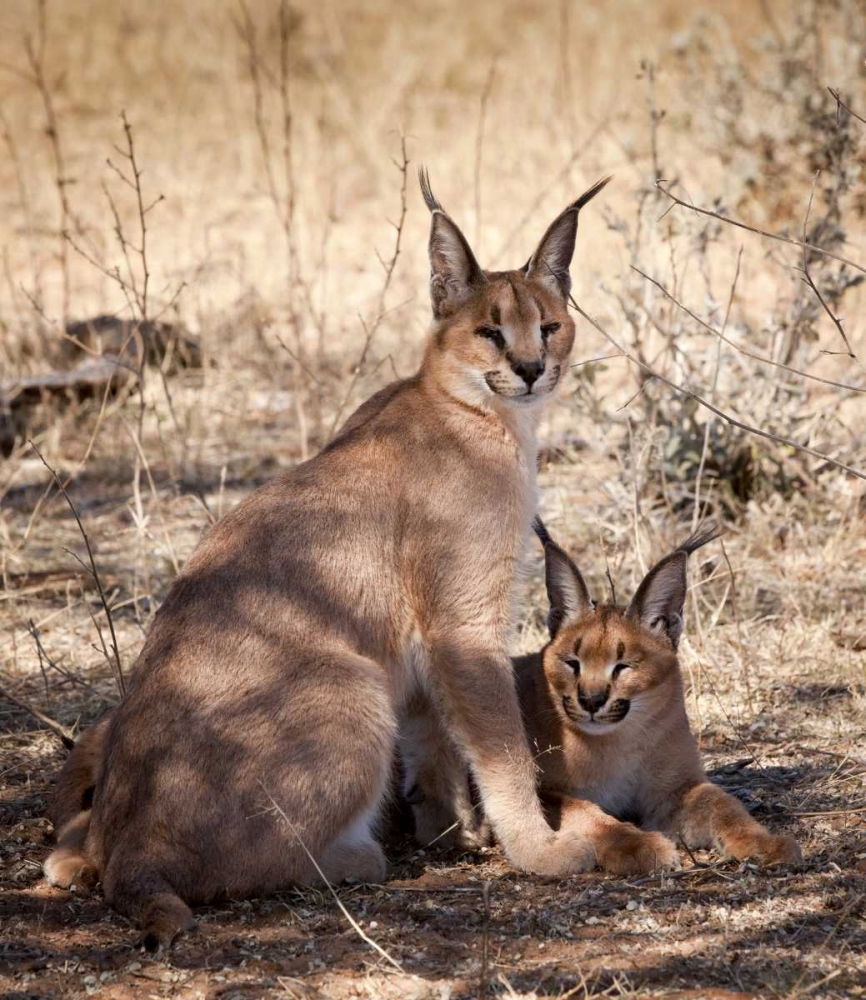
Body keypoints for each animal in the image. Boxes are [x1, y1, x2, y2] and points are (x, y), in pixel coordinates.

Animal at [45, 172, 608, 944]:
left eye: (548, 326)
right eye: (490, 332)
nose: (530, 368)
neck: (477, 413)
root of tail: (126, 852)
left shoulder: (428, 638)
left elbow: (435, 735)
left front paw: (451, 832)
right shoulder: (465, 623)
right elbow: (502, 746)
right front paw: (540, 850)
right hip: (353, 684)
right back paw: (357, 856)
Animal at [402, 524, 800, 876]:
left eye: (623, 666)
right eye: (572, 663)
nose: (591, 700)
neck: (617, 742)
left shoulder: (678, 787)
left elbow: (725, 805)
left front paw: (767, 842)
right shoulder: (546, 791)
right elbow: (584, 810)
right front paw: (637, 845)